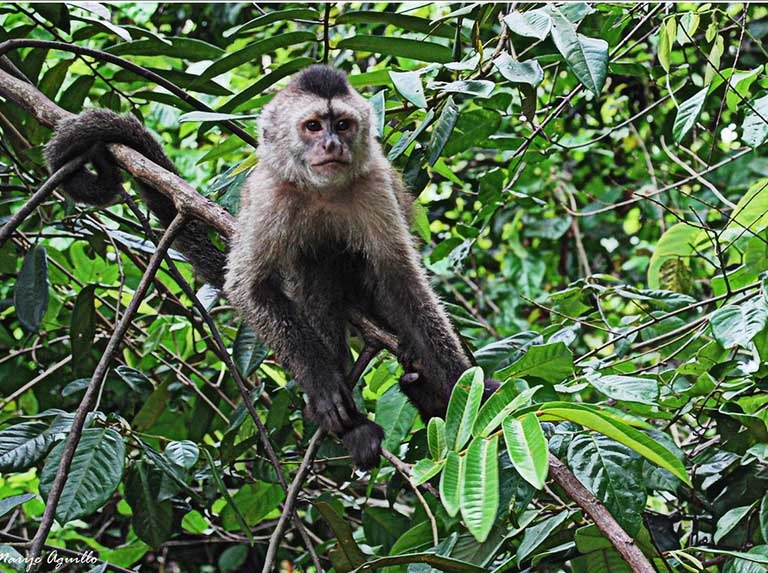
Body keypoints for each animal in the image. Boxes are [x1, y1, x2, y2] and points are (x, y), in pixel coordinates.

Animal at [45, 65, 498, 470]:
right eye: (313, 126)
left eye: (343, 125)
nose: (332, 144)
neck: (321, 191)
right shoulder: (269, 192)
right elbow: (250, 288)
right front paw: (324, 385)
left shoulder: (372, 186)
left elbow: (401, 280)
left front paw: (463, 383)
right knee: (314, 268)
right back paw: (350, 423)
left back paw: (427, 391)